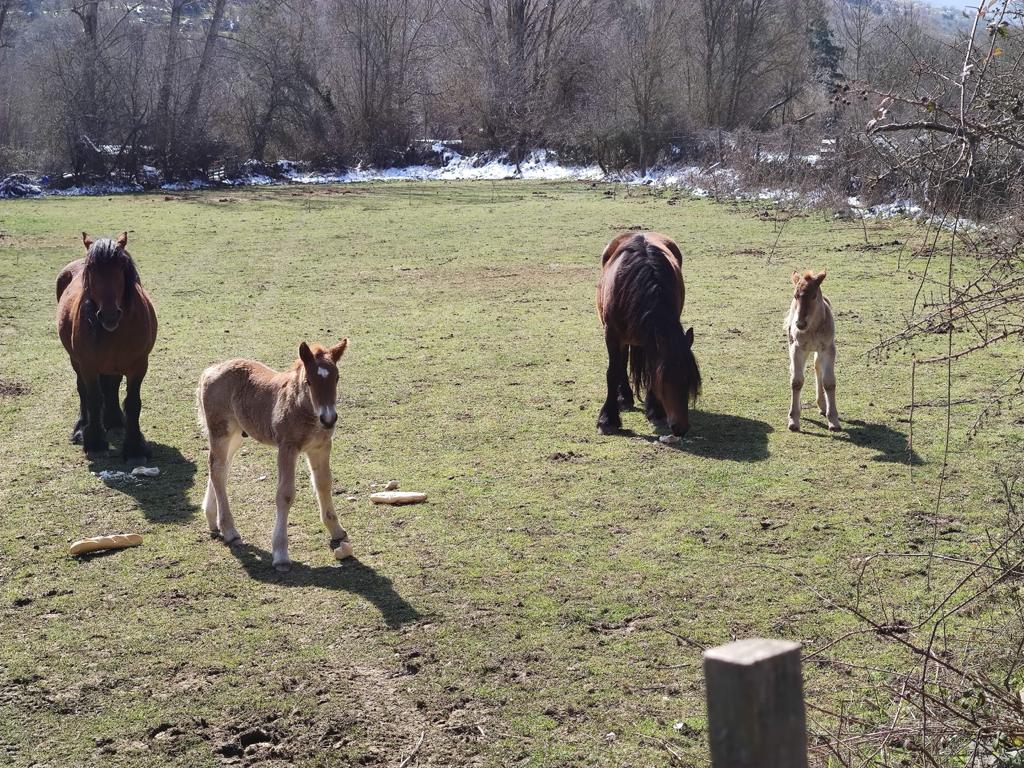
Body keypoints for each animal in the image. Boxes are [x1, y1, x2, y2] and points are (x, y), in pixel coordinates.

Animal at [57, 234, 157, 460]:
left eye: (121, 266)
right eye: (91, 268)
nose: (110, 315)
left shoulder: (139, 366)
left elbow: (133, 402)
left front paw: (135, 447)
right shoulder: (88, 366)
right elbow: (93, 399)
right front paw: (95, 442)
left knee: (112, 386)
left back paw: (114, 421)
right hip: (76, 361)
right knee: (83, 391)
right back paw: (81, 428)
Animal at [197, 342, 350, 573]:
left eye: (337, 378)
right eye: (309, 381)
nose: (329, 418)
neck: (306, 410)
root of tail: (210, 370)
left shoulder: (320, 447)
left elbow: (324, 484)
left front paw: (336, 530)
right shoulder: (287, 448)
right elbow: (285, 495)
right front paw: (280, 555)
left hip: (236, 434)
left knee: (220, 467)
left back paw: (212, 519)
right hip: (221, 431)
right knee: (217, 470)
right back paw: (230, 531)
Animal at [598, 231, 700, 438]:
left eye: (688, 380)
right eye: (666, 379)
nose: (681, 428)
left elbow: (651, 367)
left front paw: (655, 410)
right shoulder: (612, 335)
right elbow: (612, 372)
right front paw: (608, 420)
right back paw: (624, 397)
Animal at [782, 274, 839, 436]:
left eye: (813, 296)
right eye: (795, 295)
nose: (800, 324)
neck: (812, 329)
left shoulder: (828, 348)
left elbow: (829, 382)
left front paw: (834, 421)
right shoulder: (797, 348)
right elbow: (796, 381)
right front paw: (793, 420)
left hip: (818, 351)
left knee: (817, 367)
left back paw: (822, 406)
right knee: (795, 371)